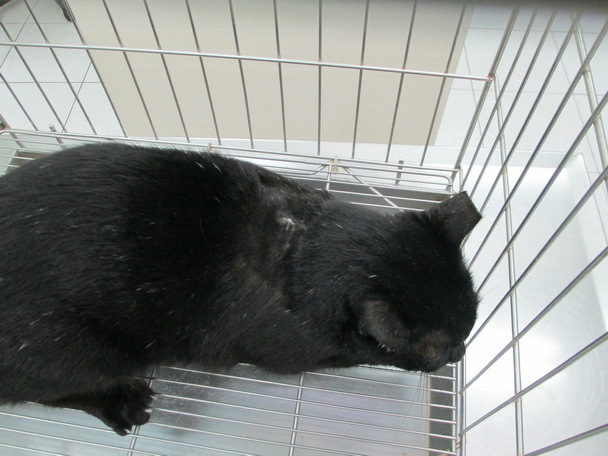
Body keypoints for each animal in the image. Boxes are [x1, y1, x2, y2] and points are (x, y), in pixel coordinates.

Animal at [0, 143, 481, 435]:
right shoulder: (294, 352)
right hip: (76, 352)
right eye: (438, 352)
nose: (459, 352)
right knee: (49, 394)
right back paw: (122, 402)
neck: (308, 241)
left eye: (471, 325)